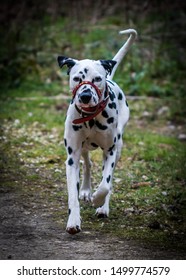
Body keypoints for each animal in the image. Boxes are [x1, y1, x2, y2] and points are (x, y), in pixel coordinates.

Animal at [57, 28, 137, 234]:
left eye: (97, 79)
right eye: (77, 78)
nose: (85, 95)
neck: (90, 117)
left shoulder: (110, 151)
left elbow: (105, 184)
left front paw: (98, 200)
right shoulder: (71, 157)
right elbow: (72, 194)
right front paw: (73, 221)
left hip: (118, 147)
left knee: (108, 179)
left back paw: (102, 207)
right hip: (83, 148)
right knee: (88, 163)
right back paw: (85, 190)